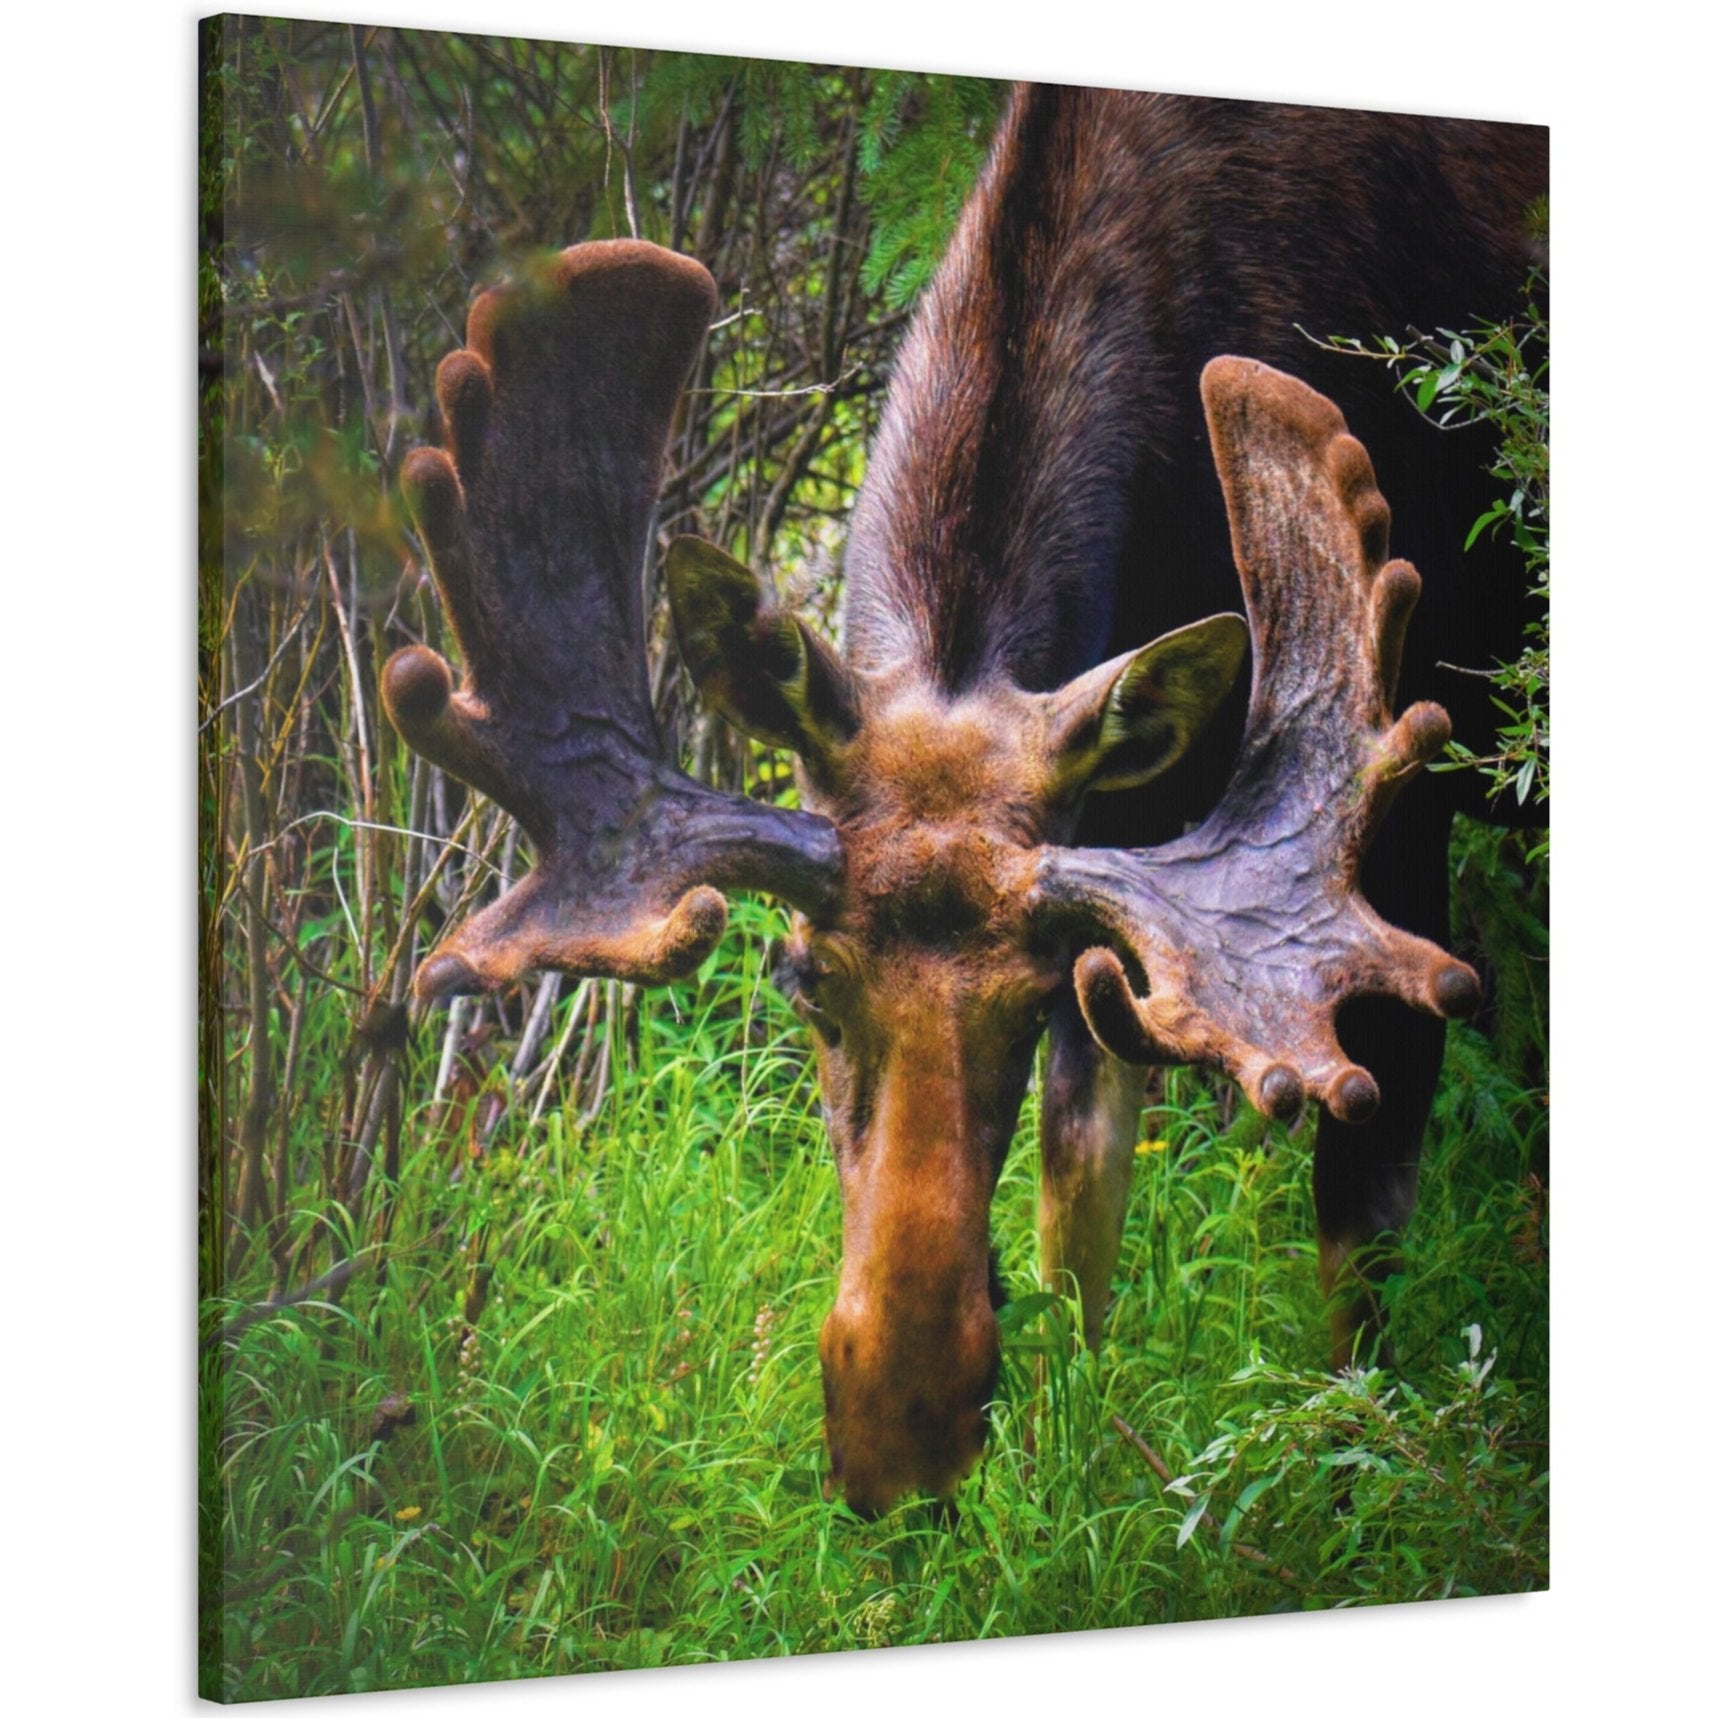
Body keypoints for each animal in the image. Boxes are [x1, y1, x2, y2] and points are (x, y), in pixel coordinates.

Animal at [381, 85, 1547, 1517]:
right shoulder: (1116, 868)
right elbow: (1075, 1196)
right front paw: (1070, 1441)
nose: (903, 1437)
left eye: (1029, 994)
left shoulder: (1391, 841)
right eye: (798, 977)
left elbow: (1356, 1258)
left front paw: (1352, 1491)